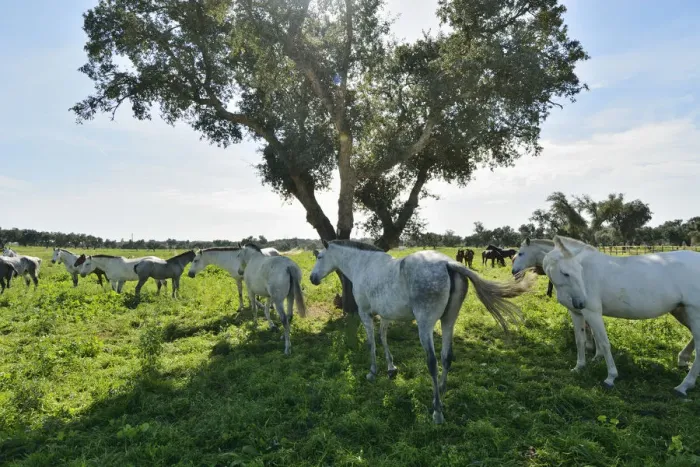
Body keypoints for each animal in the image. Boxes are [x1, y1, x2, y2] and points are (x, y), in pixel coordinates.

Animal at [309, 239, 535, 424]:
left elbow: (372, 343)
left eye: (319, 257)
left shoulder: (366, 314)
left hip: (425, 325)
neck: (363, 265)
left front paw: (373, 372)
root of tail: (449, 264)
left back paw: (437, 411)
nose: (312, 278)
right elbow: (383, 338)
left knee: (433, 363)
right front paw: (391, 368)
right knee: (447, 357)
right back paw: (441, 392)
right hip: (448, 322)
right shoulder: (386, 316)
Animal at [543, 235, 700, 396]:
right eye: (565, 273)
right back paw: (683, 361)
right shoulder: (576, 313)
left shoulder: (592, 313)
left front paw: (610, 377)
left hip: (694, 313)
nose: (581, 302)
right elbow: (580, 340)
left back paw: (683, 386)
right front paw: (579, 367)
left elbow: (604, 343)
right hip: (681, 311)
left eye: (579, 270)